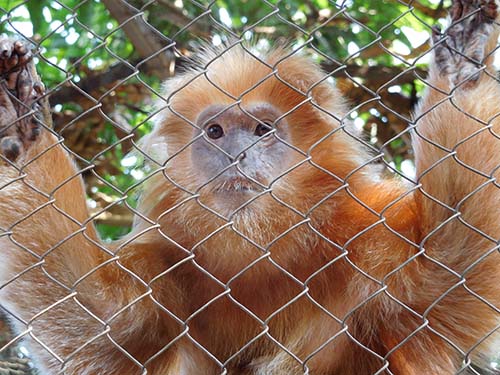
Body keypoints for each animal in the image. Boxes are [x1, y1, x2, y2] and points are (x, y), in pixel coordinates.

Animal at [0, 0, 498, 374]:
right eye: (216, 132)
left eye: (261, 130)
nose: (236, 153)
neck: (261, 246)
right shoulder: (163, 257)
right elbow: (98, 332)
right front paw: (18, 133)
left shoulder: (372, 234)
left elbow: (452, 269)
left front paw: (464, 69)